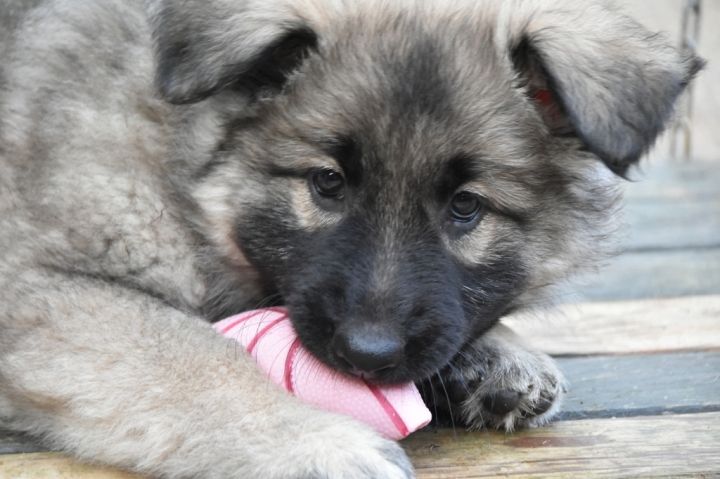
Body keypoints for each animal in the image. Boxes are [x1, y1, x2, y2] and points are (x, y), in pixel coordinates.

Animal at [0, 0, 701, 477]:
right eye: (327, 182)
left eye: (466, 207)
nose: (367, 354)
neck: (190, 162)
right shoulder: (41, 292)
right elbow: (193, 356)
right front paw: (313, 441)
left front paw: (501, 354)